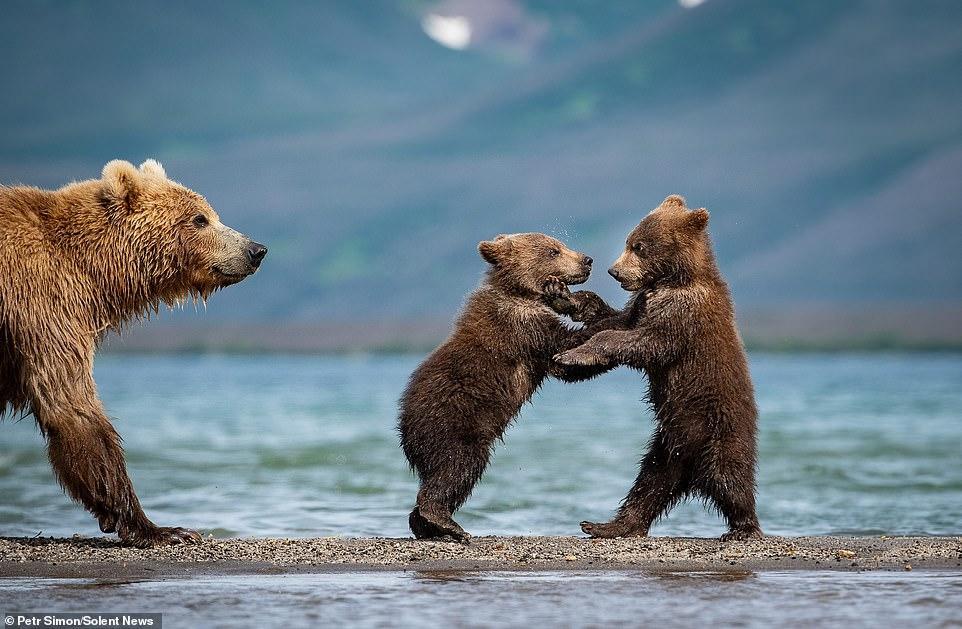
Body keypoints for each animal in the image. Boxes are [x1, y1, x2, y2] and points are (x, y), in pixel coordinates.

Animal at [0, 159, 267, 547]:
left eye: (211, 213)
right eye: (200, 218)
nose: (256, 250)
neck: (92, 269)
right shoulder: (42, 300)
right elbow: (74, 407)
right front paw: (161, 529)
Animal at [398, 232, 605, 542]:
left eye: (561, 245)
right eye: (553, 251)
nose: (587, 260)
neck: (520, 292)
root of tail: (404, 429)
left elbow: (567, 366)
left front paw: (572, 298)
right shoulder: (522, 325)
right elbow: (566, 344)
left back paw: (430, 527)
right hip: (453, 425)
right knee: (457, 468)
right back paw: (445, 521)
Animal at [551, 195, 763, 541]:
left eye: (639, 247)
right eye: (628, 241)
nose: (614, 270)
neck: (670, 280)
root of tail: (692, 473)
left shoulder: (683, 313)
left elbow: (644, 342)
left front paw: (572, 356)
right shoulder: (642, 305)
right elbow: (614, 320)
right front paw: (566, 298)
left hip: (719, 431)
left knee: (731, 478)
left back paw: (743, 528)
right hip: (666, 448)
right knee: (649, 484)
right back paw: (607, 525)